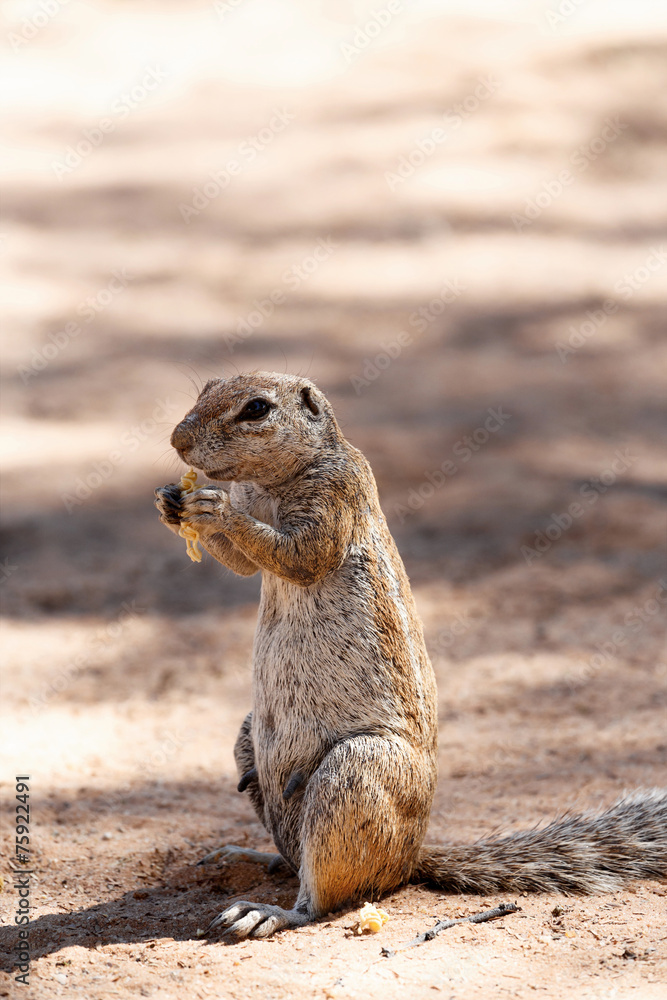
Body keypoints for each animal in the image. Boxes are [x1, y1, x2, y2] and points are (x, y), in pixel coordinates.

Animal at [154, 371, 667, 940]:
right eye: (207, 387)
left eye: (257, 409)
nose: (177, 441)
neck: (269, 484)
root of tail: (411, 859)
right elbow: (245, 564)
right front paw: (172, 504)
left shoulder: (337, 496)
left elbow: (301, 555)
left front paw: (212, 508)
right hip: (251, 738)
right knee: (293, 854)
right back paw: (250, 856)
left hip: (358, 768)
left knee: (326, 895)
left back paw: (268, 910)